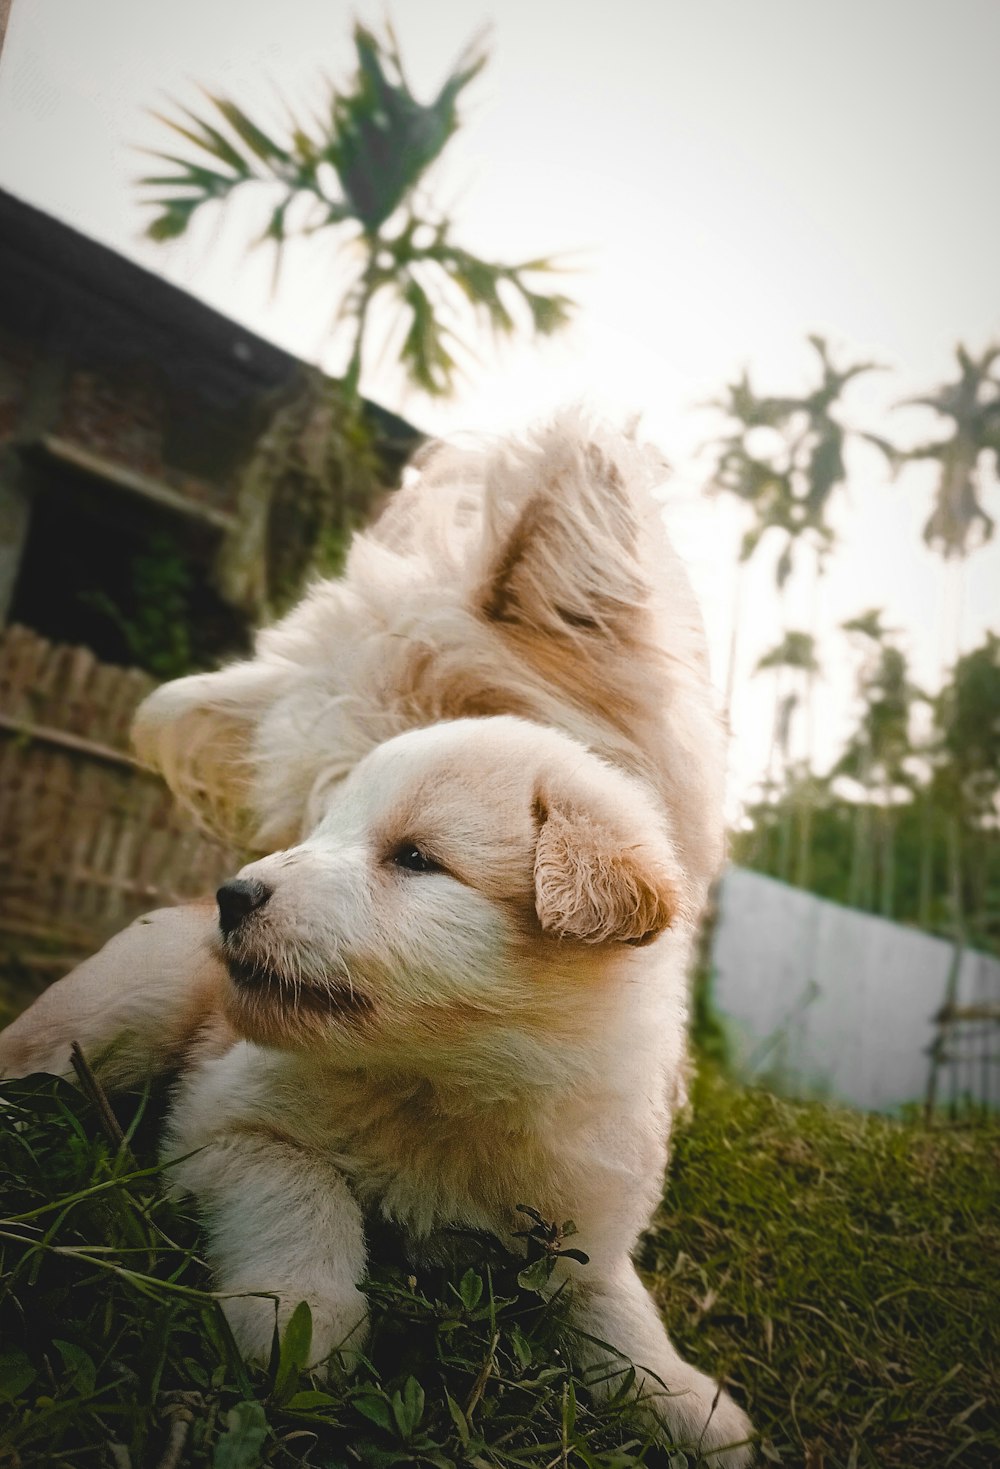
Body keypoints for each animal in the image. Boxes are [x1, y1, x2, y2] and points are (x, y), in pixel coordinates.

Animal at [0, 420, 748, 1463]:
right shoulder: (230, 1121)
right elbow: (294, 1191)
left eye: (417, 854)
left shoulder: (580, 1221)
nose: (236, 895)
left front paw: (684, 1399)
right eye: (318, 815)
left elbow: (611, 1307)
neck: (446, 1090)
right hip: (122, 1011)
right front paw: (302, 1321)